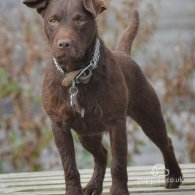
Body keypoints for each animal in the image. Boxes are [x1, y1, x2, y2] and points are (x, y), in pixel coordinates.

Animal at [22, 0, 183, 195]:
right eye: (53, 21)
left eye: (81, 20)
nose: (64, 44)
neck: (76, 75)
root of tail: (124, 53)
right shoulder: (59, 125)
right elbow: (69, 165)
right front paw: (73, 190)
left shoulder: (116, 123)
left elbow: (119, 163)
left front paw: (119, 191)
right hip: (86, 133)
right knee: (102, 155)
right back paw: (93, 186)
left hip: (149, 117)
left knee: (166, 142)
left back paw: (173, 175)